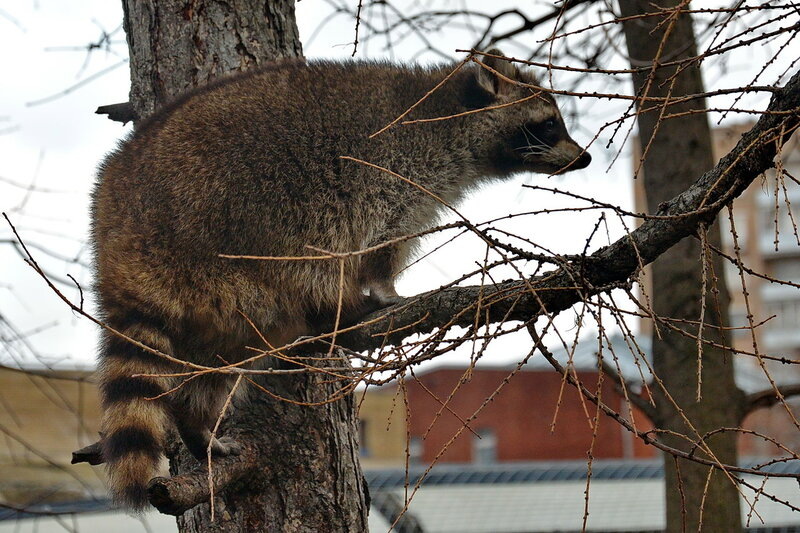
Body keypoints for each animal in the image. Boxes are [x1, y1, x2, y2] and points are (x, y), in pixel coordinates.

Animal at [90, 48, 592, 508]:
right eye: (550, 124)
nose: (585, 158)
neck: (448, 112)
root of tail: (120, 232)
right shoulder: (394, 170)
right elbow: (381, 244)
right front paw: (385, 290)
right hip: (238, 222)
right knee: (311, 259)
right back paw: (337, 307)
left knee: (218, 362)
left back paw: (197, 425)